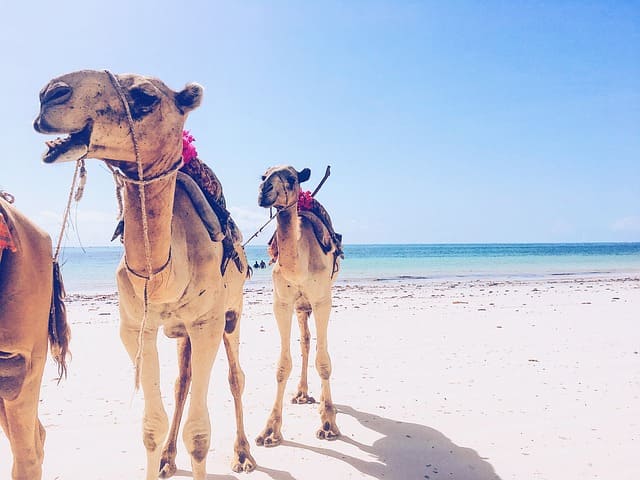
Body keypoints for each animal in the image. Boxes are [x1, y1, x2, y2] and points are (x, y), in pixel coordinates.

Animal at [33, 69, 255, 478]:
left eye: (145, 97)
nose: (50, 93)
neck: (165, 278)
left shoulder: (207, 323)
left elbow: (199, 432)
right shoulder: (136, 327)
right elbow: (152, 425)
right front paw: (160, 454)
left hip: (232, 313)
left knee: (236, 377)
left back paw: (244, 454)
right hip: (182, 331)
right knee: (182, 381)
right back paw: (168, 458)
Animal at [255, 165, 342, 446]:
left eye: (292, 178)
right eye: (263, 176)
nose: (264, 190)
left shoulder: (323, 300)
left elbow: (324, 362)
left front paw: (328, 424)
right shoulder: (281, 302)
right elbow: (283, 365)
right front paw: (270, 430)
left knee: (315, 345)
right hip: (301, 306)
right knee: (305, 340)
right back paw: (302, 394)